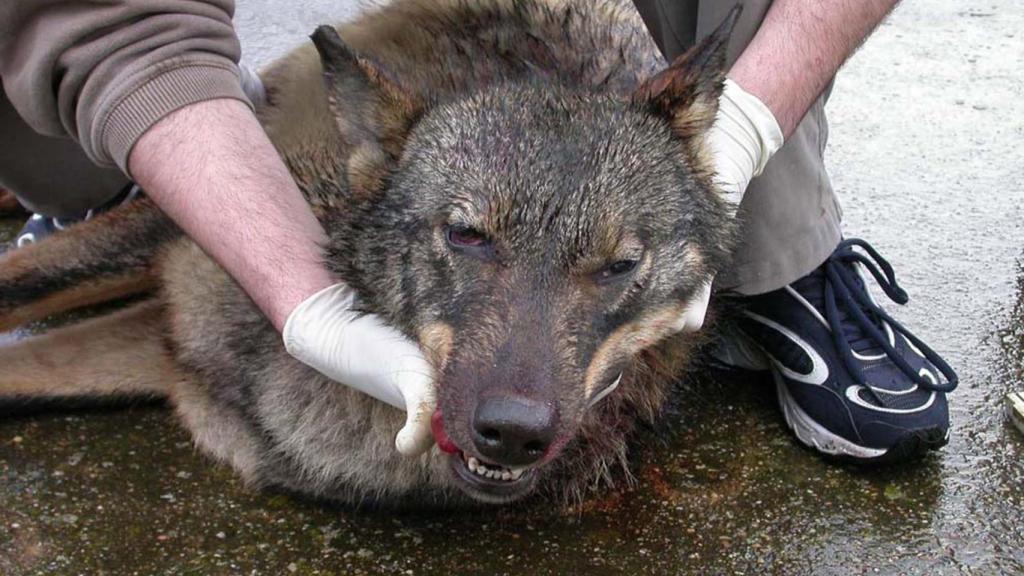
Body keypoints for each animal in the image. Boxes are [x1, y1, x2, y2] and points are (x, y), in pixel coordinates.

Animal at [0, 0, 738, 507]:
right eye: (466, 235)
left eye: (621, 266)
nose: (514, 431)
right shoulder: (166, 232)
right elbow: (18, 283)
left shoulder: (164, 349)